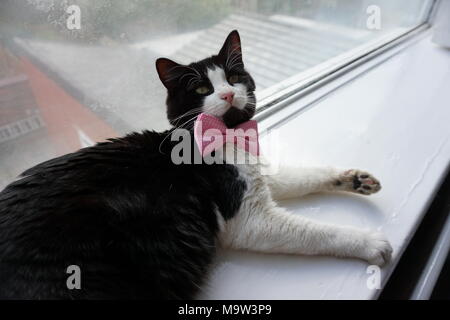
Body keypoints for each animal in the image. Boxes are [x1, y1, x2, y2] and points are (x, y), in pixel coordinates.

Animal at [0, 30, 390, 300]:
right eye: (202, 88)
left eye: (233, 79)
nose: (228, 94)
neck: (228, 140)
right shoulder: (250, 219)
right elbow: (317, 232)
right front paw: (369, 242)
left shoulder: (256, 175)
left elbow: (302, 176)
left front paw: (354, 178)